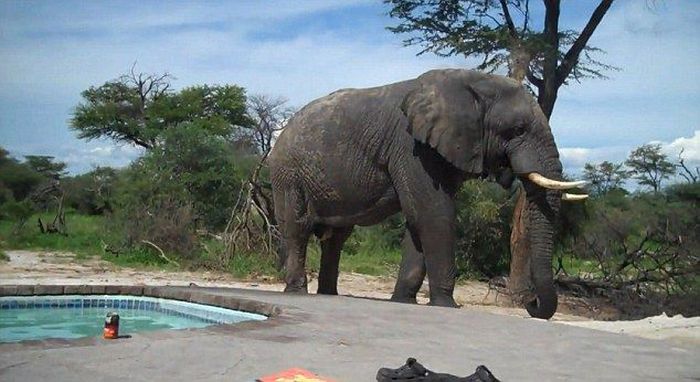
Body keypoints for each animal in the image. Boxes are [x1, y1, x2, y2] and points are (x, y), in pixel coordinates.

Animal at [270, 69, 588, 320]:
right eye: (518, 129)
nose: (531, 304)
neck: (472, 81)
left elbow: (417, 220)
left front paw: (403, 301)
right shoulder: (411, 147)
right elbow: (433, 213)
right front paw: (447, 305)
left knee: (336, 238)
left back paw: (329, 294)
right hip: (288, 173)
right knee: (297, 227)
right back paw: (298, 291)